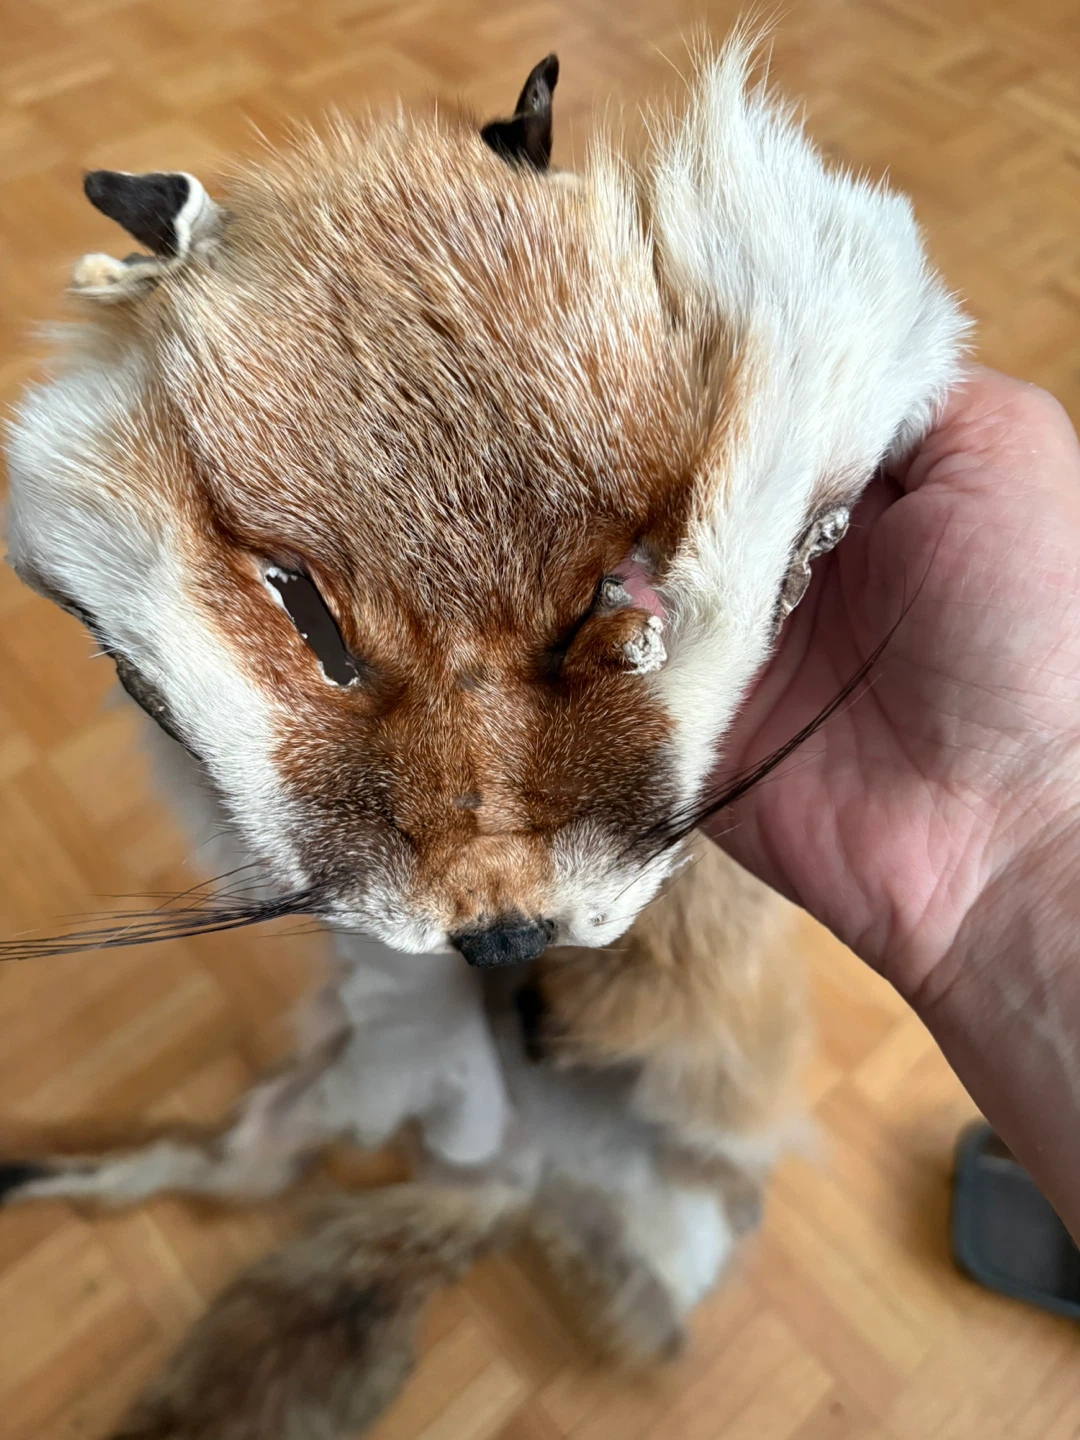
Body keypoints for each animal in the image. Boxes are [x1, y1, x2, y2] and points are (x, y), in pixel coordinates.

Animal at [0, 36, 966, 1439]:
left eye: (624, 592)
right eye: (306, 612)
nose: (504, 940)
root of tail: (505, 1168)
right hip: (313, 1104)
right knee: (206, 1175)